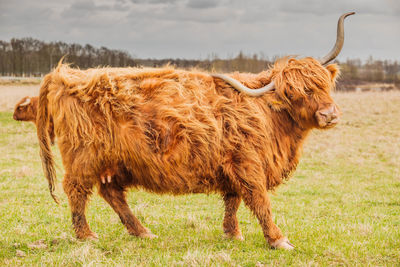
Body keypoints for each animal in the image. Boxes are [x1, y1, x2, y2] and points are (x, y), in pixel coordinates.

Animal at [36, 13, 354, 250]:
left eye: (323, 84)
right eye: (292, 93)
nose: (329, 114)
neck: (269, 117)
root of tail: (64, 75)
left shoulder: (233, 163)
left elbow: (233, 200)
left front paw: (232, 234)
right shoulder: (249, 164)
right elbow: (260, 200)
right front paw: (278, 240)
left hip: (113, 162)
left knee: (111, 192)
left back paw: (142, 231)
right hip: (83, 156)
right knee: (77, 189)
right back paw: (86, 235)